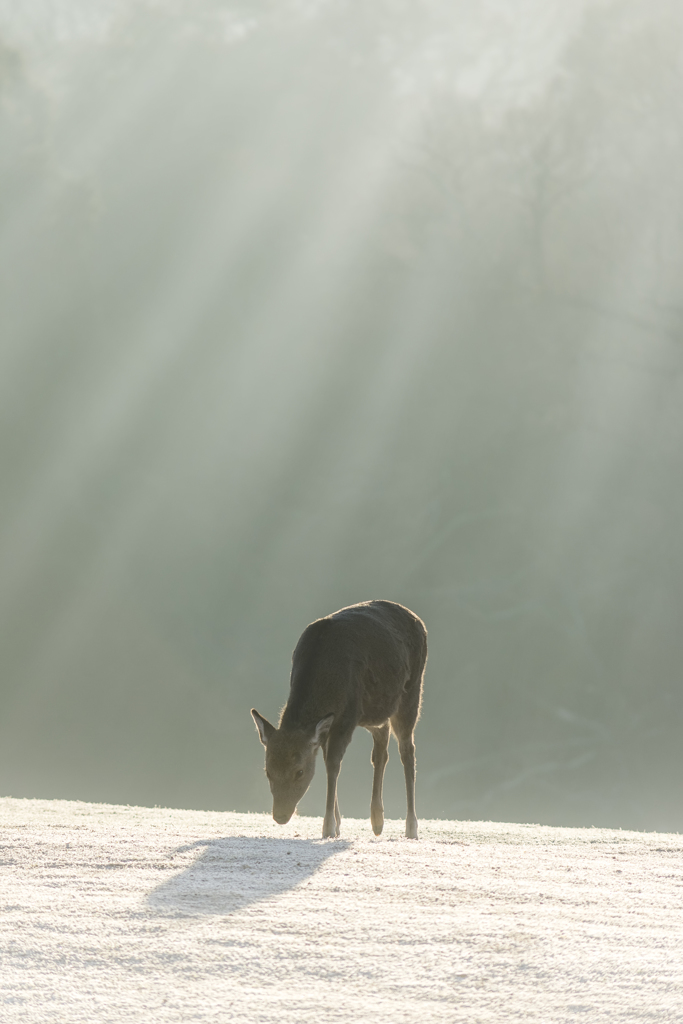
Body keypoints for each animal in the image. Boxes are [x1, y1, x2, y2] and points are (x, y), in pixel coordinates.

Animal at [249, 598, 428, 839]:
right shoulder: (330, 726)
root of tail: (419, 621)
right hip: (375, 712)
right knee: (381, 749)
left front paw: (328, 828)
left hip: (411, 694)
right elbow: (327, 761)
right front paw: (337, 824)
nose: (280, 816)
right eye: (268, 771)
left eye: (300, 771)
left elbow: (333, 764)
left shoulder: (347, 717)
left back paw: (411, 827)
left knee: (407, 751)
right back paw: (377, 821)